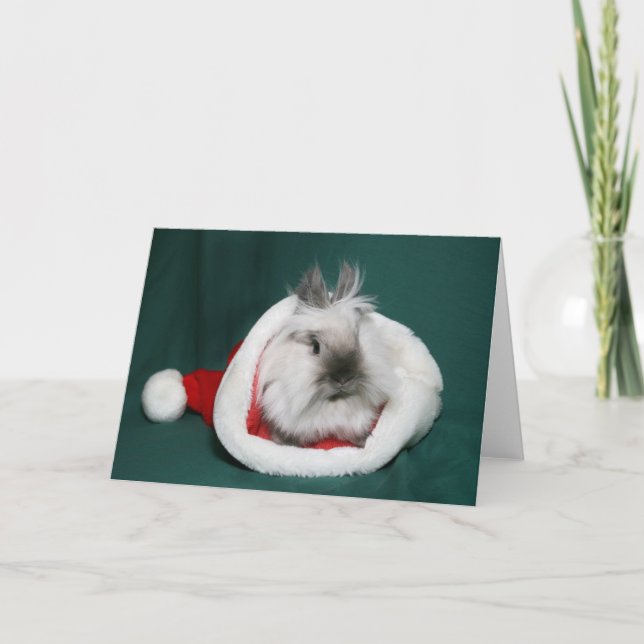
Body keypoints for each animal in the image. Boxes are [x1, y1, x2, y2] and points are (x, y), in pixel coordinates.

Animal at [257, 262, 398, 448]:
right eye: (315, 347)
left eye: (358, 339)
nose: (344, 378)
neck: (333, 403)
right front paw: (281, 442)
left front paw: (362, 442)